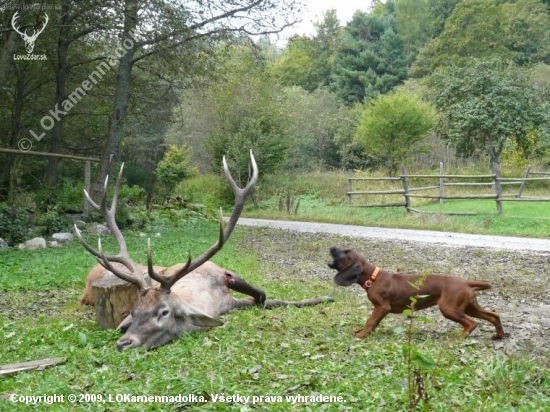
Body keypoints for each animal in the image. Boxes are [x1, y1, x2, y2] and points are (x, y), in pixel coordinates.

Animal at [330, 248, 506, 338]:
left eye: (344, 252)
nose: (332, 248)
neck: (373, 277)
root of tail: (465, 282)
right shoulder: (379, 309)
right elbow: (374, 322)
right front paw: (365, 332)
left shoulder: (382, 307)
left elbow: (370, 321)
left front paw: (361, 334)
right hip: (469, 307)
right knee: (494, 316)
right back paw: (499, 335)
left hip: (449, 309)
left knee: (472, 323)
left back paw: (457, 338)